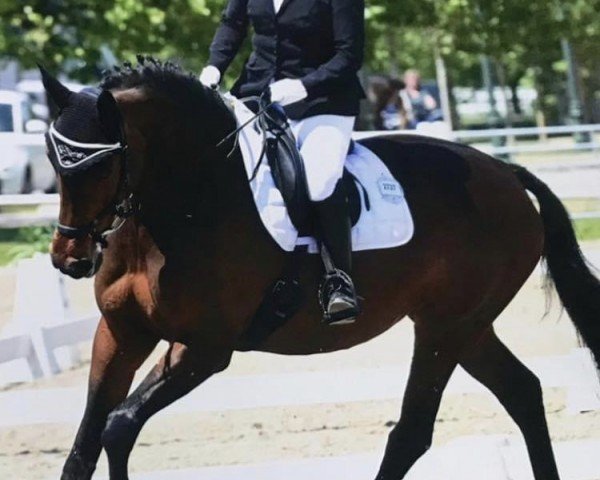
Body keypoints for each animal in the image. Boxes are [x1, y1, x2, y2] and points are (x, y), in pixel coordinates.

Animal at [38, 60, 600, 480]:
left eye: (100, 165)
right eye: (53, 158)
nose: (69, 259)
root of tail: (506, 172)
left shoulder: (205, 348)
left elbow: (117, 426)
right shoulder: (121, 333)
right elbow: (85, 445)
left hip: (447, 328)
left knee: (413, 431)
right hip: (466, 326)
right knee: (522, 392)